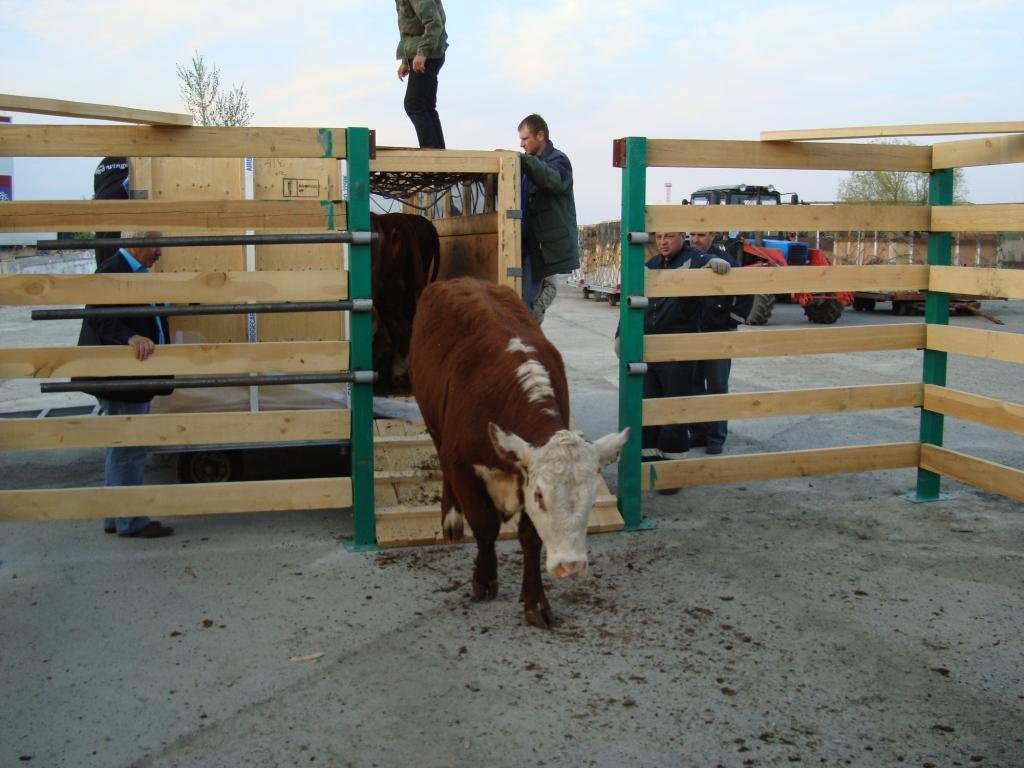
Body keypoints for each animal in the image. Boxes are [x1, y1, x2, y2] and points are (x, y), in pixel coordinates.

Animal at [407, 280, 622, 626]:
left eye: (591, 499)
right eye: (540, 496)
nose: (571, 565)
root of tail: (461, 280)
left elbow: (530, 538)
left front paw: (535, 602)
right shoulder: (461, 463)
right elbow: (484, 526)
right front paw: (484, 579)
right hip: (433, 421)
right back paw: (451, 520)